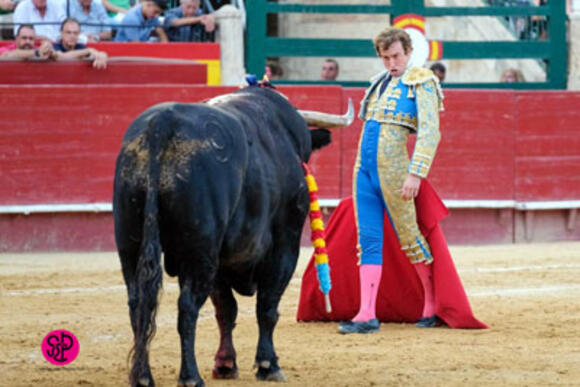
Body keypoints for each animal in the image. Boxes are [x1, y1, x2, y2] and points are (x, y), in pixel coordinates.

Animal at [111, 86, 334, 386]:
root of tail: (162, 124)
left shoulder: (220, 260)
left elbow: (226, 309)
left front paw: (226, 364)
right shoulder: (285, 244)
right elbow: (267, 305)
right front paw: (268, 365)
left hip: (130, 242)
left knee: (138, 303)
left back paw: (143, 377)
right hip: (199, 250)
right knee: (188, 306)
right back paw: (190, 376)